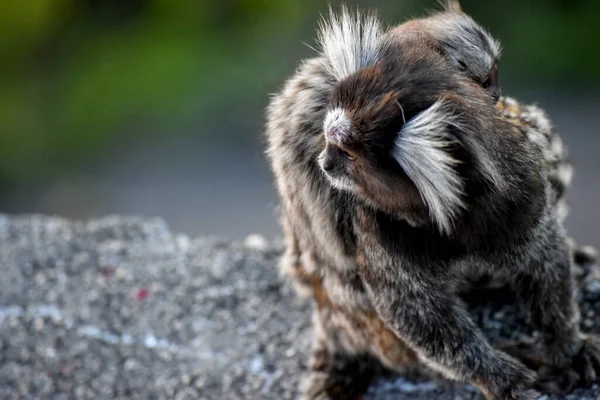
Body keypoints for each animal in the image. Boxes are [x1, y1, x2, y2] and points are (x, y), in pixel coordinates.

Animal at [264, 1, 596, 398]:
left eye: (348, 155)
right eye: (336, 147)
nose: (326, 162)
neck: (451, 211)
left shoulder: (520, 192)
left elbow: (544, 261)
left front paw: (566, 345)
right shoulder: (378, 227)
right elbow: (417, 314)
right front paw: (499, 376)